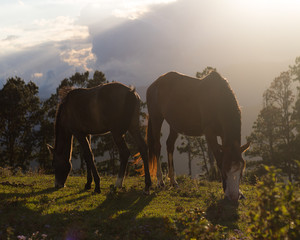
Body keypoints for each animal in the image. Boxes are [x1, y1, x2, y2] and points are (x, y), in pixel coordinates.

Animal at [146, 71, 250, 201]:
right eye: (225, 170)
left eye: (241, 171)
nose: (234, 196)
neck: (218, 99)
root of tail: (153, 85)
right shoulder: (209, 133)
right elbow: (218, 159)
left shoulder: (222, 135)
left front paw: (240, 192)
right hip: (156, 118)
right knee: (157, 146)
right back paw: (160, 181)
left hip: (174, 124)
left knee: (169, 145)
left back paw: (173, 181)